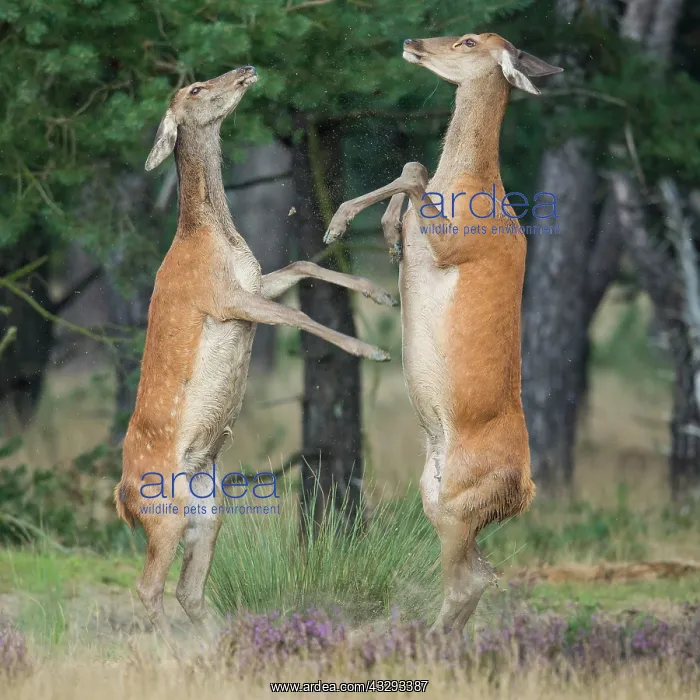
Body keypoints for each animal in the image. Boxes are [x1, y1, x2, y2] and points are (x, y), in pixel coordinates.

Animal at [114, 65, 397, 645]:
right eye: (196, 89)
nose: (244, 69)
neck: (215, 241)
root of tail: (121, 499)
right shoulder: (225, 298)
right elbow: (299, 317)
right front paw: (372, 349)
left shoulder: (253, 284)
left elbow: (304, 265)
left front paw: (380, 295)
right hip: (163, 512)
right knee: (148, 588)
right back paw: (175, 654)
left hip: (209, 509)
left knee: (188, 590)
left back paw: (222, 643)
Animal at [323, 34, 563, 632]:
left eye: (469, 40)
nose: (412, 42)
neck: (470, 189)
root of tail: (524, 493)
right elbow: (413, 166)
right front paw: (373, 231)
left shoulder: (458, 243)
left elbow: (414, 174)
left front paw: (346, 225)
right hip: (436, 495)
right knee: (481, 573)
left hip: (459, 497)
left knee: (467, 580)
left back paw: (424, 639)